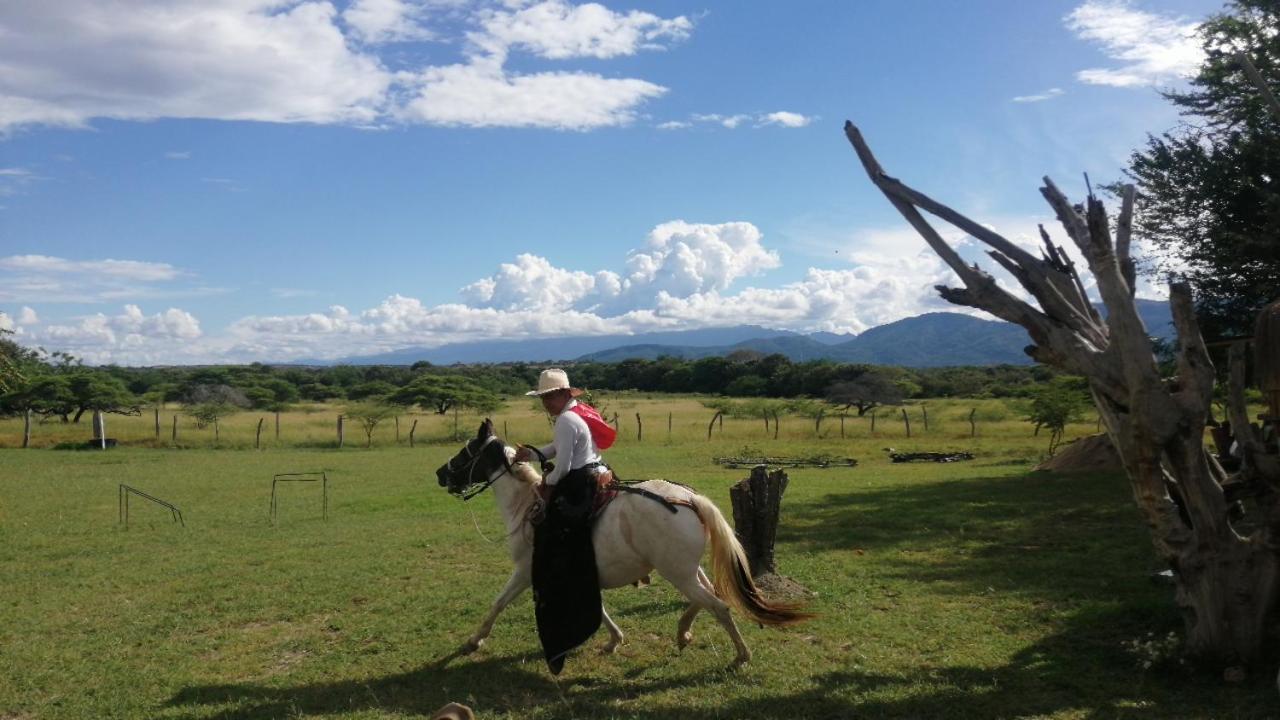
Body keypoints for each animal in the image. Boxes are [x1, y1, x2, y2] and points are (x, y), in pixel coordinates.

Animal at [435, 417, 803, 666]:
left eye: (466, 452)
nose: (440, 474)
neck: (526, 506)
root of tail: (689, 499)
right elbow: (600, 609)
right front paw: (614, 641)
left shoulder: (527, 572)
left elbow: (498, 602)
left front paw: (474, 641)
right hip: (687, 569)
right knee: (711, 595)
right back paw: (684, 631)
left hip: (677, 572)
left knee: (719, 605)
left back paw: (741, 654)